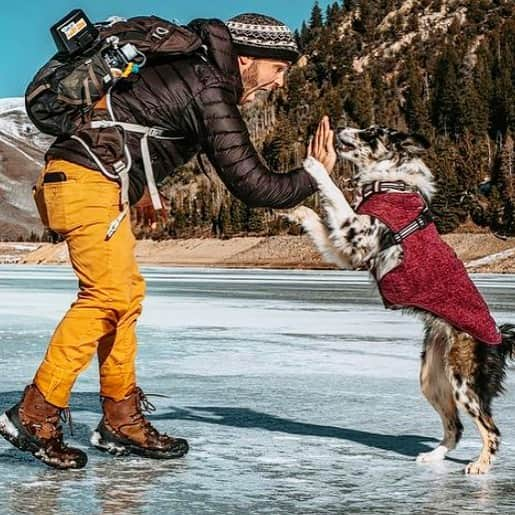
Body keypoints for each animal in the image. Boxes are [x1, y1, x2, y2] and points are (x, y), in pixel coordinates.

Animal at [286, 125, 515, 476]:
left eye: (371, 133)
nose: (342, 129)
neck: (390, 182)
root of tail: (501, 339)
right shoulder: (346, 248)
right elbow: (318, 220)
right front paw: (297, 211)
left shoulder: (357, 233)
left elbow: (334, 193)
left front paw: (314, 164)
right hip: (432, 377)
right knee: (456, 427)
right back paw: (433, 457)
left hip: (464, 382)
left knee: (491, 429)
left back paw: (480, 465)